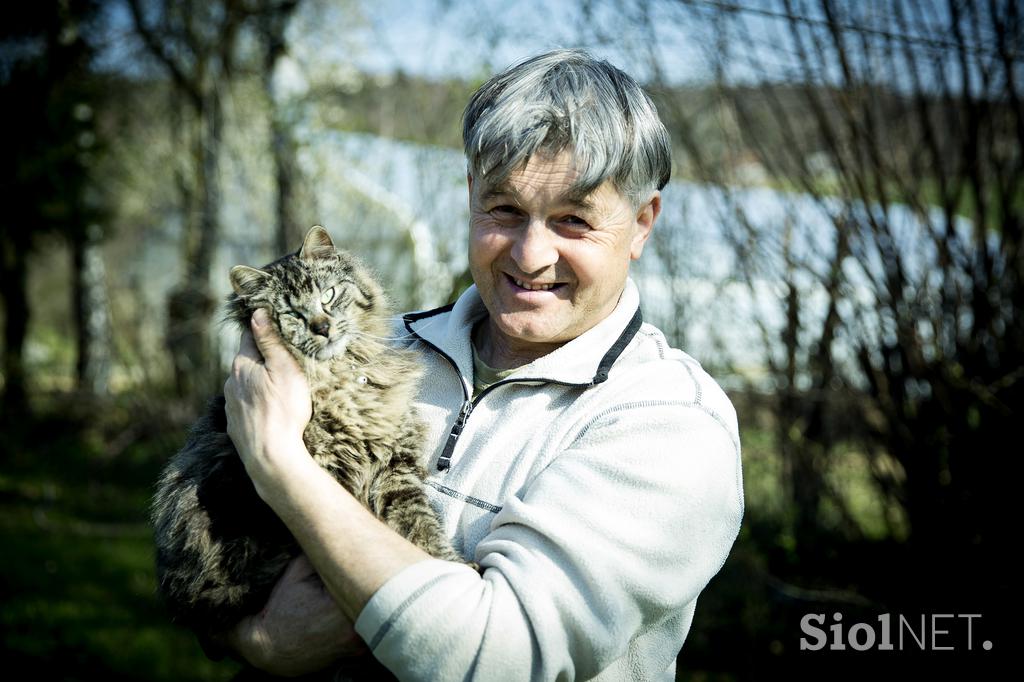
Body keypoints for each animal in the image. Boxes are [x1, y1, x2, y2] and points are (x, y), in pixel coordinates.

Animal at [150, 224, 464, 643]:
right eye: (291, 313)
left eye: (328, 295)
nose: (322, 327)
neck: (342, 376)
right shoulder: (327, 473)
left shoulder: (395, 470)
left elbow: (422, 528)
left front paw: (455, 565)